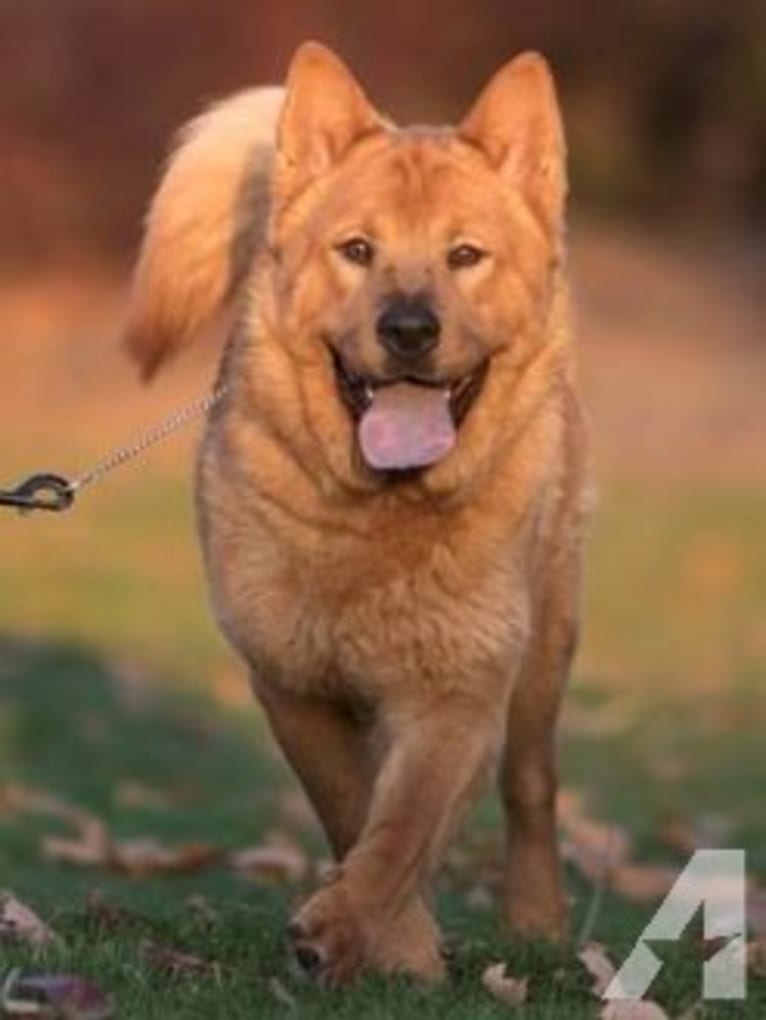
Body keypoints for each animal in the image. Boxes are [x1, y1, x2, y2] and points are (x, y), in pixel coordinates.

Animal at [129, 41, 591, 987]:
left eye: (465, 255)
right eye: (356, 249)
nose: (409, 329)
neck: (381, 514)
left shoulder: (460, 691)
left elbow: (403, 828)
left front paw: (354, 934)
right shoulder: (293, 683)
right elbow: (356, 810)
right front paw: (400, 946)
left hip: (544, 650)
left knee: (531, 788)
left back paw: (538, 925)